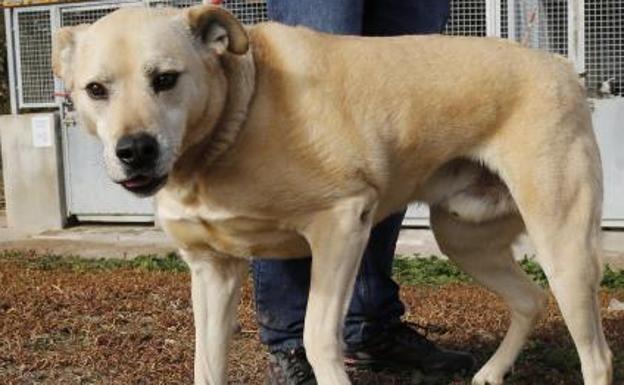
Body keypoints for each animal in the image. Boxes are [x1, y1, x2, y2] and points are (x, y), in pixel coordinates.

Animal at [51, 3, 612, 384]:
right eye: (96, 90)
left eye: (165, 79)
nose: (135, 150)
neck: (238, 116)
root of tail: (559, 64)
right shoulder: (213, 269)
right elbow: (206, 362)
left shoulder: (342, 224)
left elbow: (318, 339)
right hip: (464, 239)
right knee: (530, 299)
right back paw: (492, 372)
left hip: (562, 245)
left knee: (597, 356)